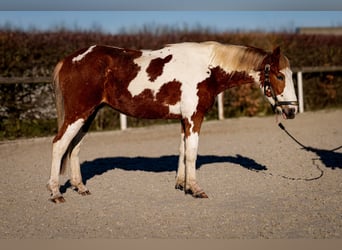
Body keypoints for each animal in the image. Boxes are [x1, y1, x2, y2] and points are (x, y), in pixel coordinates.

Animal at [46, 41, 298, 203]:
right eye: (279, 75)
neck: (208, 67)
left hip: (88, 114)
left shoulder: (184, 119)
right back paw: (56, 193)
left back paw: (80, 188)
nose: (292, 110)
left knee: (75, 148)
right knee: (59, 145)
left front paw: (182, 185)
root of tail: (69, 60)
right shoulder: (194, 117)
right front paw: (196, 189)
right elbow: (192, 153)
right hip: (78, 113)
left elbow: (182, 150)